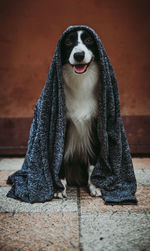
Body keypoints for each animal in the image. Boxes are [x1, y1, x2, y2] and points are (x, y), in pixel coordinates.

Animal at [53, 28, 101, 198]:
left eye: (89, 40)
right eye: (68, 41)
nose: (79, 55)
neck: (80, 81)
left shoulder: (95, 124)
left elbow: (93, 160)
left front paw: (95, 186)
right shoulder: (61, 125)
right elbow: (59, 157)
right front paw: (59, 188)